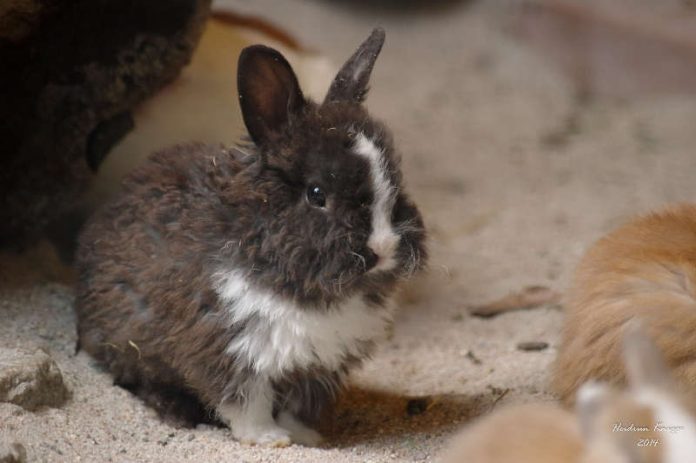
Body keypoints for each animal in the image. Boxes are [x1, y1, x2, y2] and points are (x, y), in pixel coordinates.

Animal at [75, 27, 424, 448]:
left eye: (395, 181)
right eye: (317, 194)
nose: (384, 248)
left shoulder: (316, 365)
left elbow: (297, 405)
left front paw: (307, 439)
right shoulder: (232, 350)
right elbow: (246, 403)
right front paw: (271, 439)